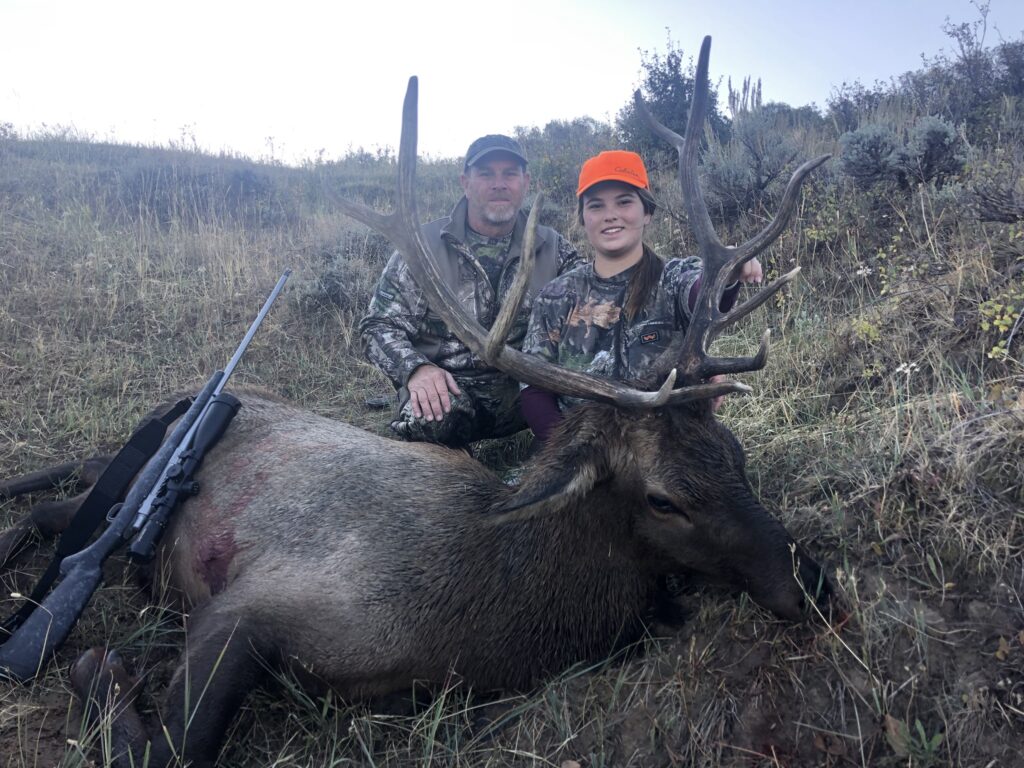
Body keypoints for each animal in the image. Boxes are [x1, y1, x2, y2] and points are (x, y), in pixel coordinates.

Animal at [2, 39, 831, 768]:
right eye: (663, 500)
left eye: (735, 455)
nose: (811, 586)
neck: (487, 609)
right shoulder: (253, 601)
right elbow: (176, 744)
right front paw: (98, 668)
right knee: (64, 497)